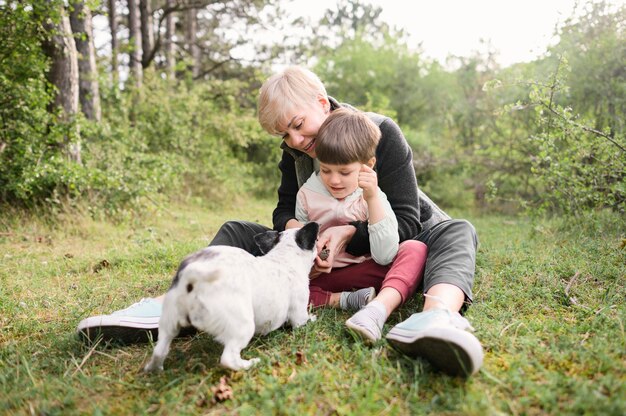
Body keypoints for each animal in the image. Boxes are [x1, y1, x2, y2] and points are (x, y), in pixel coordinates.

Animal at [144, 223, 320, 372]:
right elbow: (304, 320)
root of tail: (193, 276)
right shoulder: (299, 315)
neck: (283, 257)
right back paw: (250, 364)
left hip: (169, 320)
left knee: (160, 350)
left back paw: (154, 369)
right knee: (228, 358)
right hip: (243, 325)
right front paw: (313, 318)